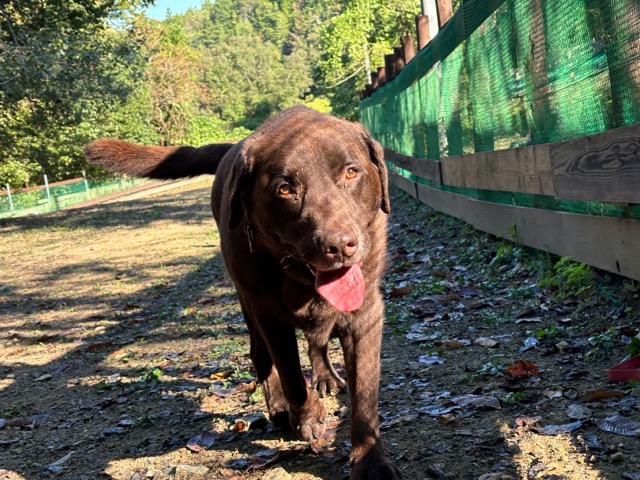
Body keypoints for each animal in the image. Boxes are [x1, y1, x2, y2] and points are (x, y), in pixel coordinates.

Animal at [85, 106, 401, 479]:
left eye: (351, 172)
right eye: (285, 189)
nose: (338, 246)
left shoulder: (365, 315)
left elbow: (364, 397)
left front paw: (372, 464)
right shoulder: (269, 314)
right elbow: (291, 374)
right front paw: (307, 416)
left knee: (316, 343)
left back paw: (324, 377)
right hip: (248, 305)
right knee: (262, 357)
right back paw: (280, 409)